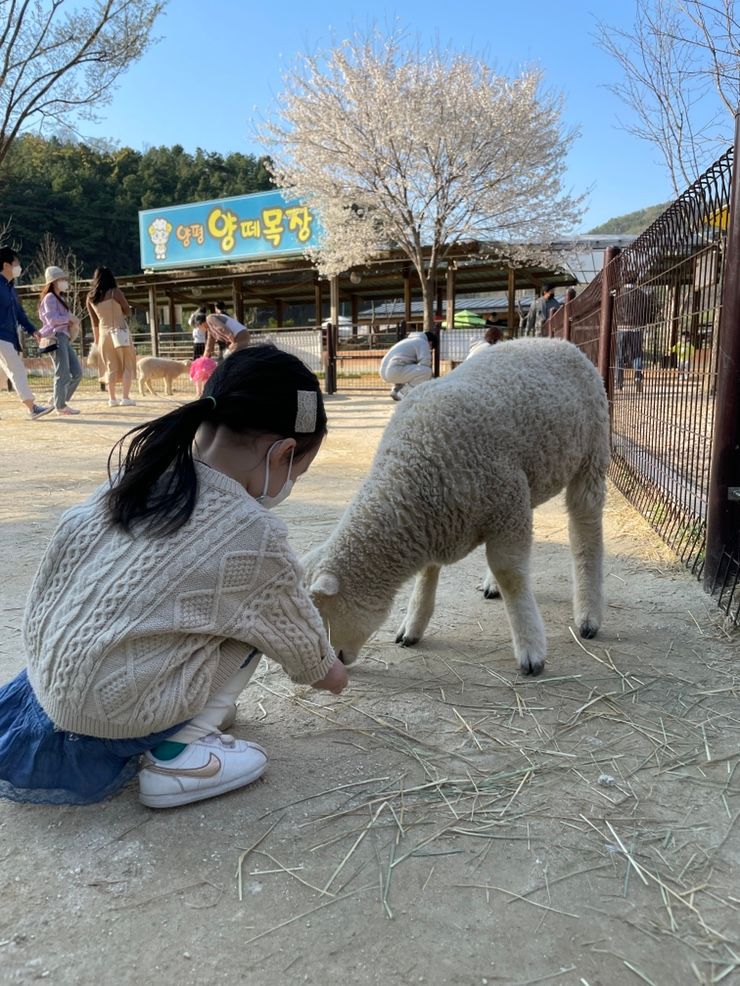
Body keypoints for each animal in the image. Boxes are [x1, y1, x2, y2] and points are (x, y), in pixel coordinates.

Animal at [304, 338, 608, 676]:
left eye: (321, 618)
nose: (327, 667)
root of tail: (560, 343)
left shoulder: (505, 500)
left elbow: (511, 574)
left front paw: (531, 649)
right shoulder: (454, 516)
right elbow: (428, 573)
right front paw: (413, 625)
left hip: (591, 455)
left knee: (586, 530)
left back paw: (588, 615)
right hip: (531, 479)